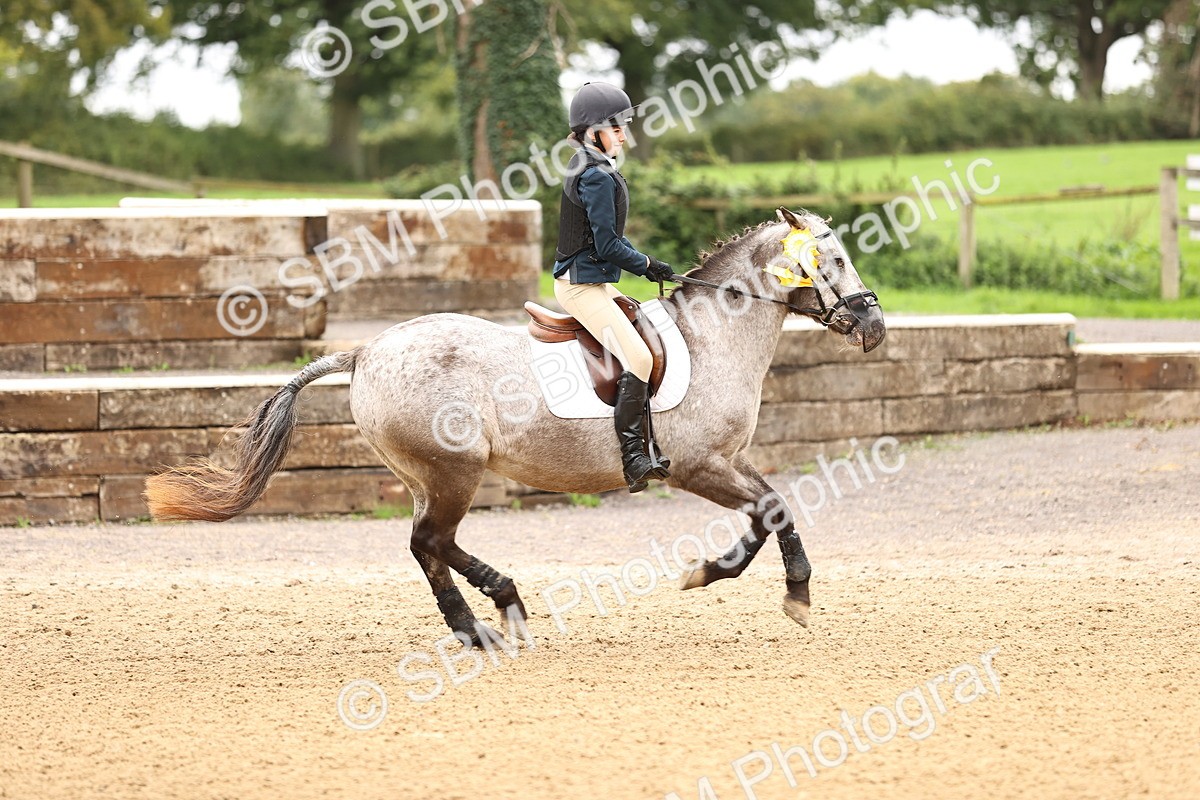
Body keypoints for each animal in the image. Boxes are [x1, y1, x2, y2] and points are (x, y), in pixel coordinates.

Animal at [145, 207, 886, 644]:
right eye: (836, 260)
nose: (874, 326)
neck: (714, 338)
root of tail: (365, 352)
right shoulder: (700, 465)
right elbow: (772, 508)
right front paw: (783, 590)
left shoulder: (729, 459)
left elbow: (770, 509)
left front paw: (727, 577)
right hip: (454, 471)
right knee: (431, 541)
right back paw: (499, 608)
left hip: (425, 476)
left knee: (427, 546)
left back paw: (481, 622)